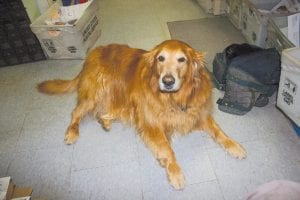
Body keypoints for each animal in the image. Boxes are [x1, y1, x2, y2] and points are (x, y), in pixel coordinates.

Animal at [37, 39, 245, 190]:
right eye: (161, 58)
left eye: (182, 59)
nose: (167, 81)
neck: (174, 98)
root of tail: (92, 54)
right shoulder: (151, 123)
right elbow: (167, 150)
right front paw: (176, 173)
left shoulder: (198, 114)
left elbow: (219, 131)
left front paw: (234, 146)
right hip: (96, 92)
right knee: (77, 112)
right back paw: (72, 132)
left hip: (119, 101)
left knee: (105, 112)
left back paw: (105, 122)